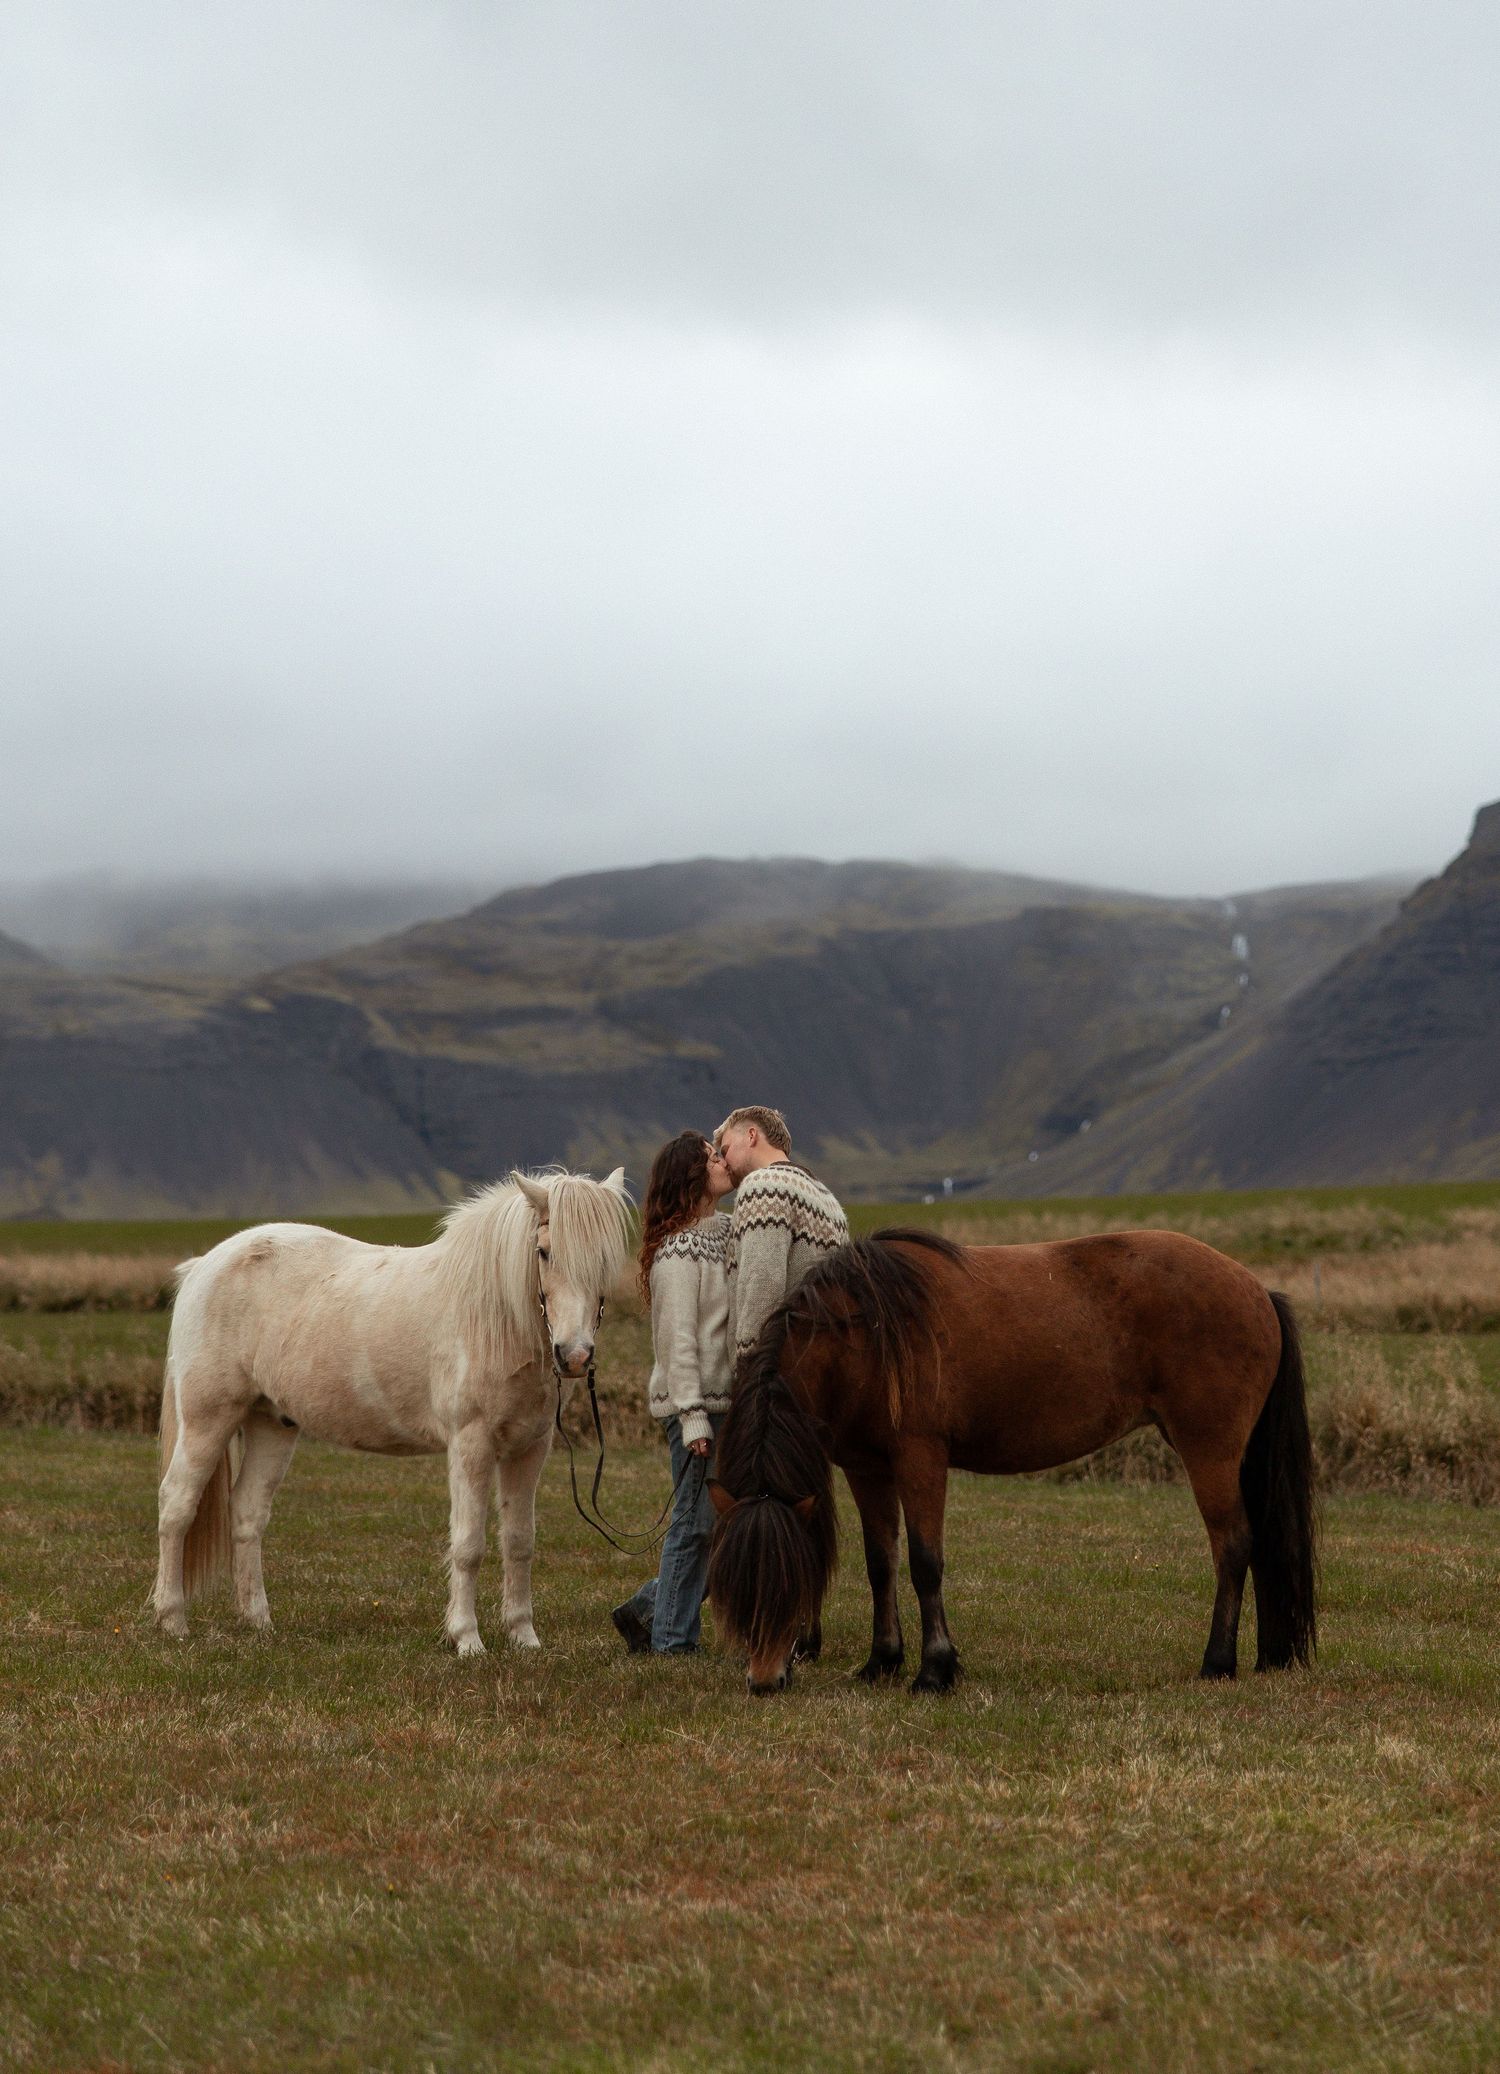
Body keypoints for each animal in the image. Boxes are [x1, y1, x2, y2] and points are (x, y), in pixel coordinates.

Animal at [152, 1167, 631, 1654]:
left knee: (247, 1513)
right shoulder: (471, 1444)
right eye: (544, 1251)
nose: (574, 1356)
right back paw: (172, 1620)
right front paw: (468, 1639)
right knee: (176, 1505)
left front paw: (524, 1637)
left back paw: (258, 1622)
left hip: (272, 1423)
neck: (493, 1316)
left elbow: (519, 1541)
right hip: (207, 1418)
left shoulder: (529, 1448)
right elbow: (468, 1545)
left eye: (606, 1259)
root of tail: (203, 1266)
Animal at [707, 1228, 1317, 1695]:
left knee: (1233, 1545)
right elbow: (881, 1563)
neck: (862, 1335)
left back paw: (1217, 1663)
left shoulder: (920, 1459)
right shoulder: (867, 1468)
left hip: (1209, 1450)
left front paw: (935, 1670)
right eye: (737, 1585)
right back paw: (1266, 1655)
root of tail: (1256, 1289)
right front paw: (882, 1661)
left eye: (787, 1584)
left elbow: (925, 1563)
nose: (764, 1680)